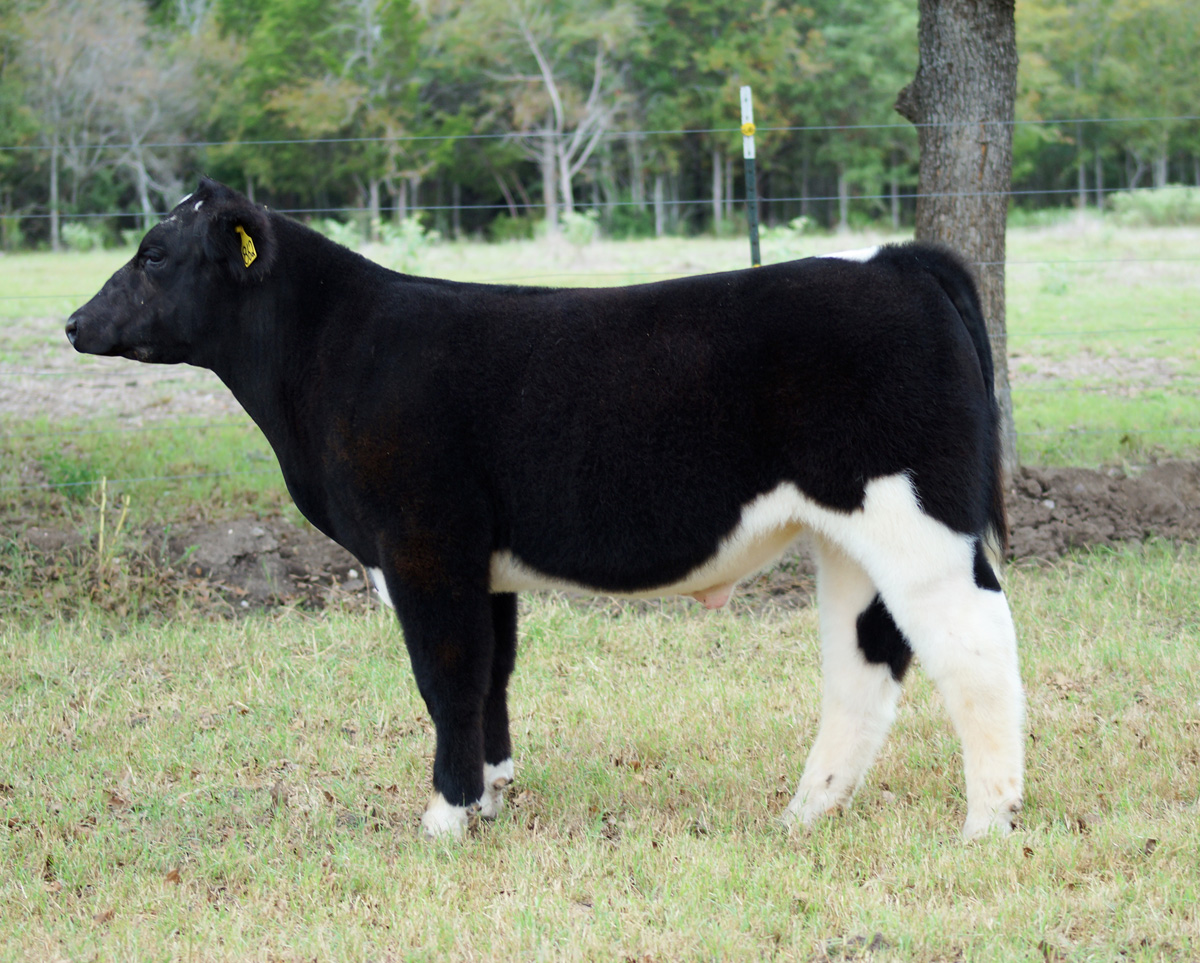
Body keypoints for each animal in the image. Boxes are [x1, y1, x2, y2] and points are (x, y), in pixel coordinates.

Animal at [66, 178, 1024, 842]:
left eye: (154, 254)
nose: (75, 322)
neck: (336, 353)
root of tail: (893, 260)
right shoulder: (481, 560)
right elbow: (492, 671)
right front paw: (492, 793)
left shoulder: (422, 542)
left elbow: (446, 675)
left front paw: (445, 816)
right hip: (850, 538)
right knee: (864, 664)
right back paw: (804, 812)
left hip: (915, 519)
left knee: (972, 645)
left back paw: (987, 821)